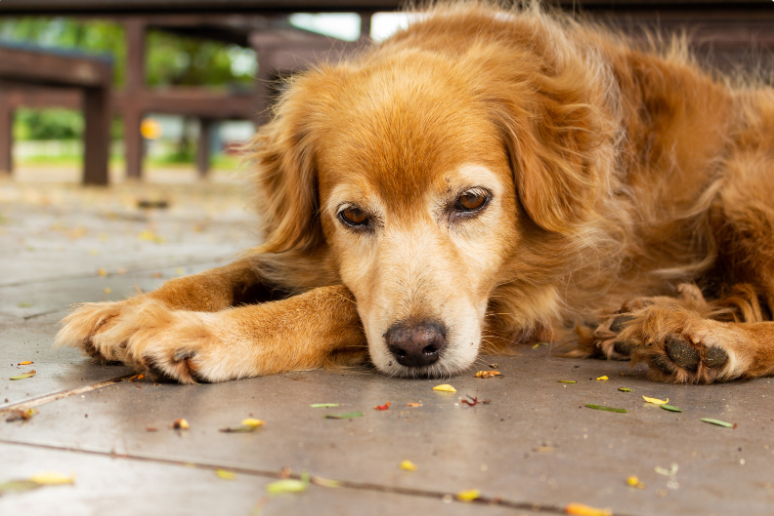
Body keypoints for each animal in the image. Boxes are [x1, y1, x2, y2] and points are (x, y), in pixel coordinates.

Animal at [54, 3, 774, 382]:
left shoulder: (525, 298)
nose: (415, 347)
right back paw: (648, 320)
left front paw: (201, 332)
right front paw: (132, 307)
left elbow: (334, 302)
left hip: (741, 187)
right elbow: (239, 268)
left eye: (472, 202)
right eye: (351, 216)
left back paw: (702, 339)